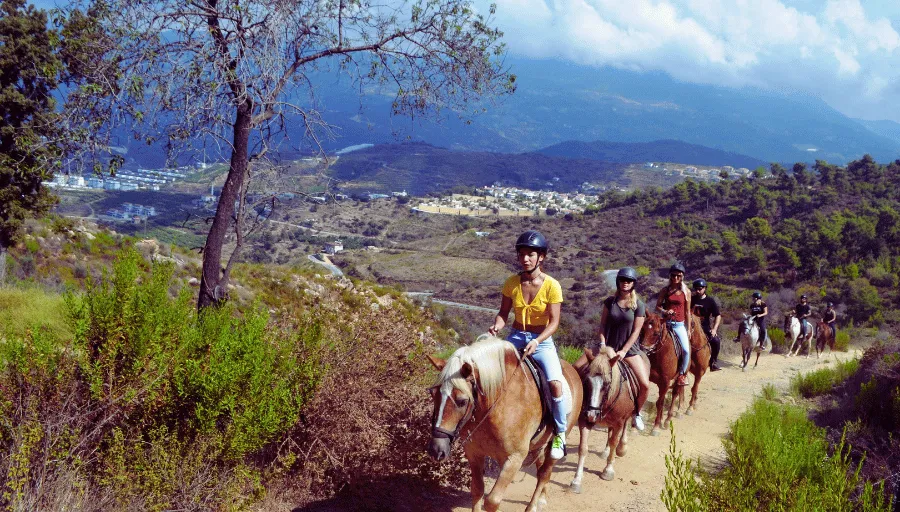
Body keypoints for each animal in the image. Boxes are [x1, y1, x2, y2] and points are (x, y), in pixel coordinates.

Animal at [426, 335, 583, 512]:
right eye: (433, 394)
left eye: (462, 401)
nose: (436, 450)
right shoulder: (474, 453)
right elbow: (477, 490)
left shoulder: (514, 459)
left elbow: (492, 501)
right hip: (538, 445)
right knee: (541, 470)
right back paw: (542, 499)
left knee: (544, 473)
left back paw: (533, 506)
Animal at [569, 346, 644, 493]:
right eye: (586, 381)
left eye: (607, 383)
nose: (591, 414)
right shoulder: (584, 421)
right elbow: (583, 448)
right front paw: (577, 480)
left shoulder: (619, 421)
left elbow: (614, 441)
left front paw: (608, 470)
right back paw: (605, 451)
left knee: (624, 428)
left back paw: (622, 447)